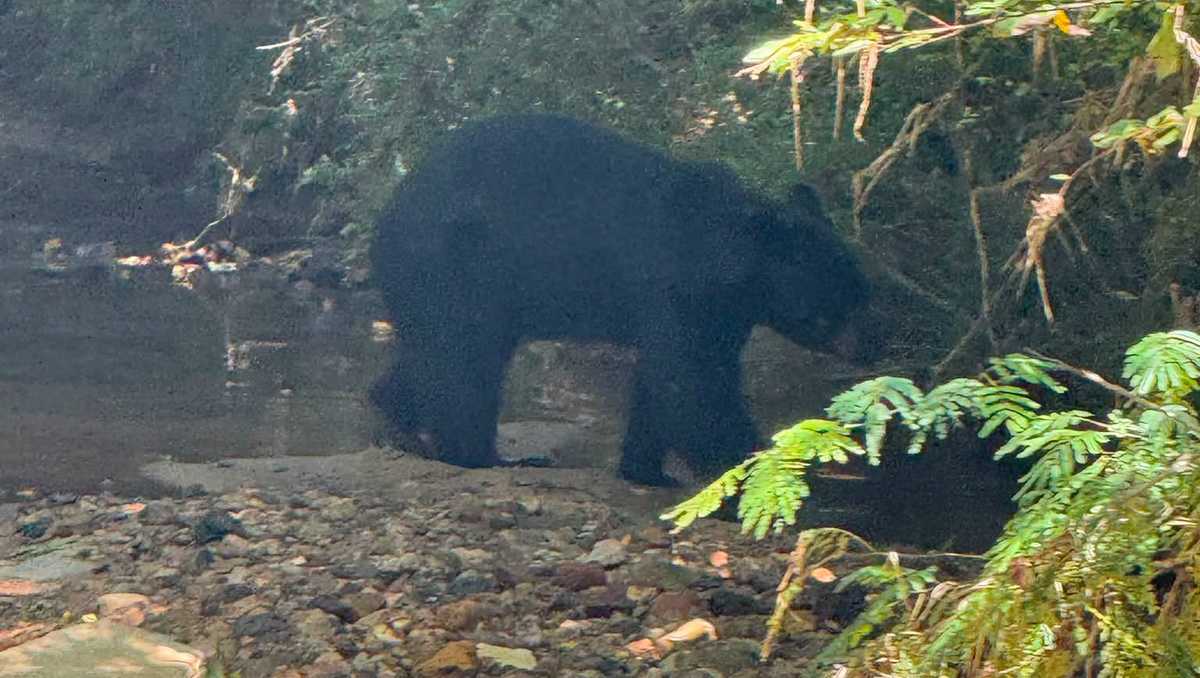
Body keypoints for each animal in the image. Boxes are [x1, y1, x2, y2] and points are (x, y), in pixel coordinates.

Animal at [371, 114, 868, 486]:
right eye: (833, 304)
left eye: (863, 286)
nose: (873, 341)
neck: (729, 256)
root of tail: (386, 216)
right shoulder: (677, 288)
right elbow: (691, 385)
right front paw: (746, 469)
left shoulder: (722, 313)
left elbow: (667, 382)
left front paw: (648, 471)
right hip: (454, 267)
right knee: (464, 362)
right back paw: (479, 455)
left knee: (436, 355)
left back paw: (399, 421)